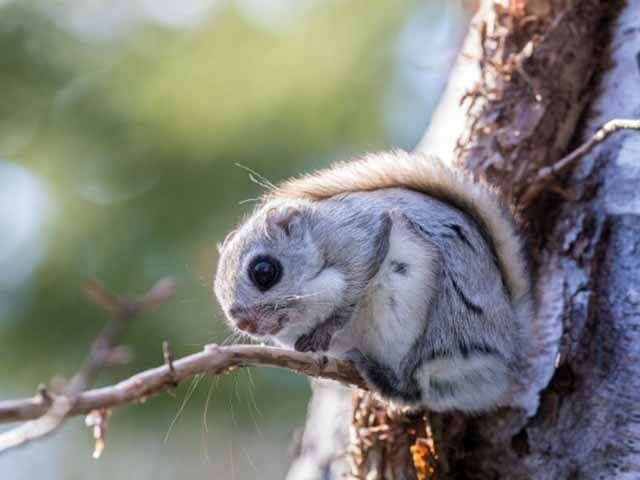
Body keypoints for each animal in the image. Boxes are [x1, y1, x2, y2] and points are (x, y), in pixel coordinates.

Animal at [215, 152, 560, 414]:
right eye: (218, 290)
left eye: (263, 271)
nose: (245, 323)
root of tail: (511, 352)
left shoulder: (363, 236)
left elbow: (354, 287)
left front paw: (327, 327)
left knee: (413, 390)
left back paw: (376, 373)